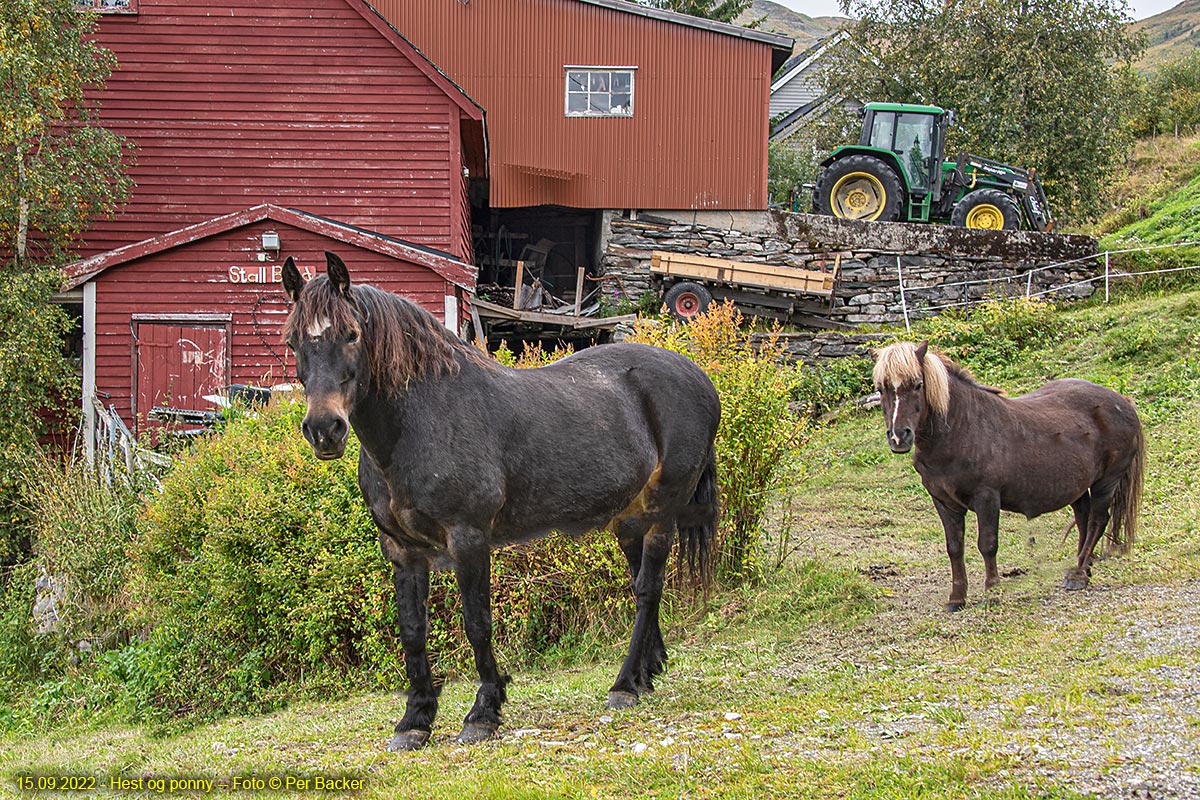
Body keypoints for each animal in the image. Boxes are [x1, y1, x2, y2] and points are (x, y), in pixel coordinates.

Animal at [280, 255, 715, 753]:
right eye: (293, 340)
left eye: (351, 334)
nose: (324, 429)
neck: (426, 415)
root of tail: (698, 377)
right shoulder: (402, 551)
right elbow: (412, 630)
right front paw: (415, 719)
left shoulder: (469, 539)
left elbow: (477, 622)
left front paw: (483, 712)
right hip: (630, 519)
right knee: (644, 580)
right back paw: (646, 673)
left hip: (663, 512)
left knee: (647, 589)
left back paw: (624, 684)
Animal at [873, 340, 1142, 609]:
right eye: (881, 388)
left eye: (918, 384)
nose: (899, 436)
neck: (960, 430)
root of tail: (1123, 401)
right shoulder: (943, 501)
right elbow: (955, 547)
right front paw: (957, 598)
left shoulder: (987, 497)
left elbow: (987, 544)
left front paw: (993, 591)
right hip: (1078, 487)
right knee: (1084, 520)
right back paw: (1082, 571)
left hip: (1106, 482)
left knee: (1097, 521)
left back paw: (1078, 576)